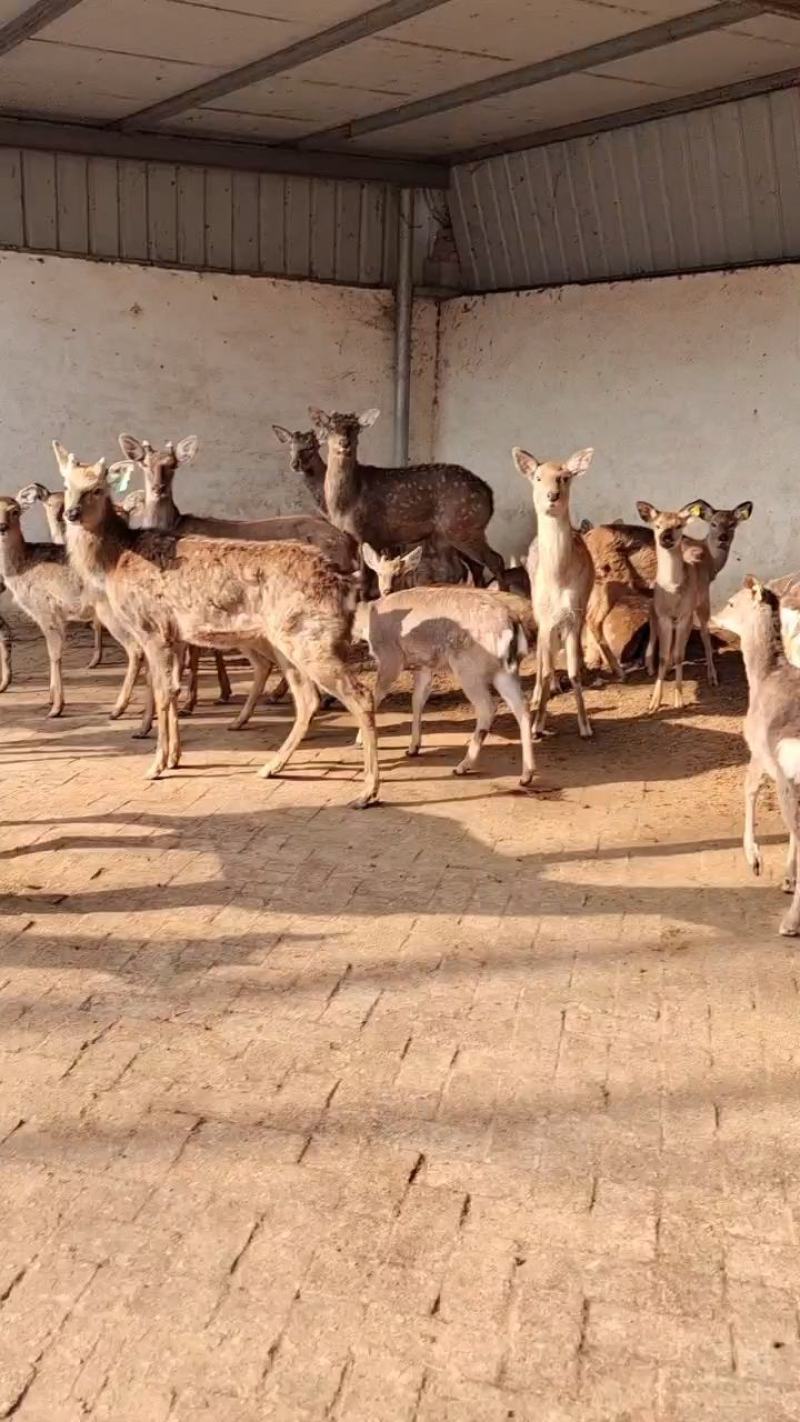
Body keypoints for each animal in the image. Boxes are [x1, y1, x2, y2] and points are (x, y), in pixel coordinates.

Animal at [55, 444, 379, 806]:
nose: (70, 513)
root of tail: (345, 583)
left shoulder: (152, 626)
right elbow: (172, 688)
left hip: (312, 637)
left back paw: (367, 791)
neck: (116, 561)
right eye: (67, 485)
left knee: (360, 694)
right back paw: (272, 767)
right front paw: (175, 757)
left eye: (97, 488)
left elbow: (162, 691)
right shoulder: (175, 634)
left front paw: (157, 765)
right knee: (308, 698)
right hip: (290, 639)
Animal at [310, 407, 505, 585]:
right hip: (447, 534)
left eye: (356, 428)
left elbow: (366, 578)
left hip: (462, 526)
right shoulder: (355, 537)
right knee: (466, 568)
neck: (344, 504)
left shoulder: (369, 532)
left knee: (494, 560)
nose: (344, 442)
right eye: (330, 427)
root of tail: (489, 493)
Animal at [357, 545, 533, 785]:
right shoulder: (423, 666)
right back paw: (526, 775)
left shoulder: (390, 658)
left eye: (400, 571)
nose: (386, 588)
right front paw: (413, 747)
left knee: (487, 707)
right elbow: (417, 700)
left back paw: (463, 766)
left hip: (469, 668)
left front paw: (359, 738)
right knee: (522, 706)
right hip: (505, 670)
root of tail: (513, 625)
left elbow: (376, 696)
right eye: (379, 572)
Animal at [513, 446, 595, 740]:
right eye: (538, 477)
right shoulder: (546, 616)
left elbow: (573, 671)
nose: (552, 496)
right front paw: (537, 725)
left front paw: (585, 727)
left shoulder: (574, 613)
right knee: (539, 659)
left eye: (565, 477)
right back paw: (537, 697)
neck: (559, 579)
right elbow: (547, 669)